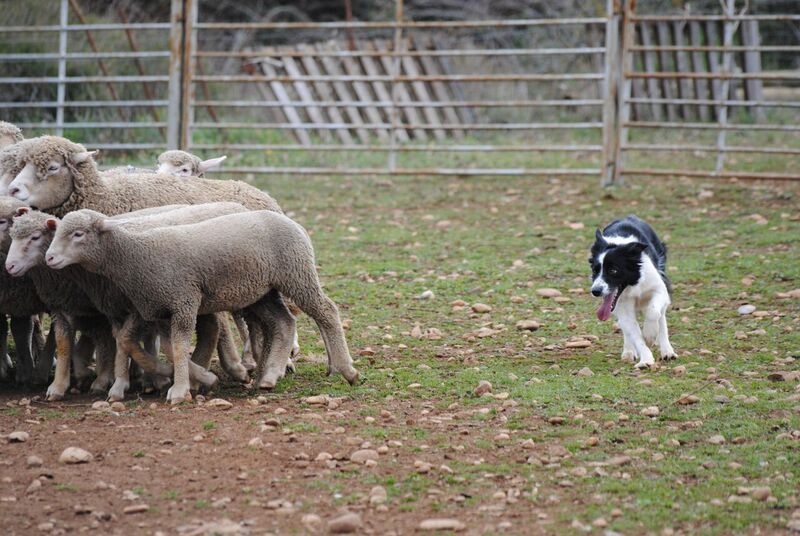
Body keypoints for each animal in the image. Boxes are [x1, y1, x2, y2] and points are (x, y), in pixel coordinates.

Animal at [43, 207, 356, 404]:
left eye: (78, 234)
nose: (49, 259)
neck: (138, 254)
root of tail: (294, 223)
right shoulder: (160, 308)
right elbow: (164, 347)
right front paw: (194, 377)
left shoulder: (184, 300)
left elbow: (180, 347)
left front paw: (180, 390)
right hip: (261, 291)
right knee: (283, 322)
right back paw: (269, 376)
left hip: (297, 273)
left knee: (326, 312)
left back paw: (346, 369)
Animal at [588, 214, 676, 368]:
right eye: (595, 270)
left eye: (613, 270)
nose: (595, 291)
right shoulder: (623, 307)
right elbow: (634, 333)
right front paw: (646, 360)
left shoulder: (659, 289)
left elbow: (654, 312)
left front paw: (650, 335)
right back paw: (628, 352)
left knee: (661, 317)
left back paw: (667, 350)